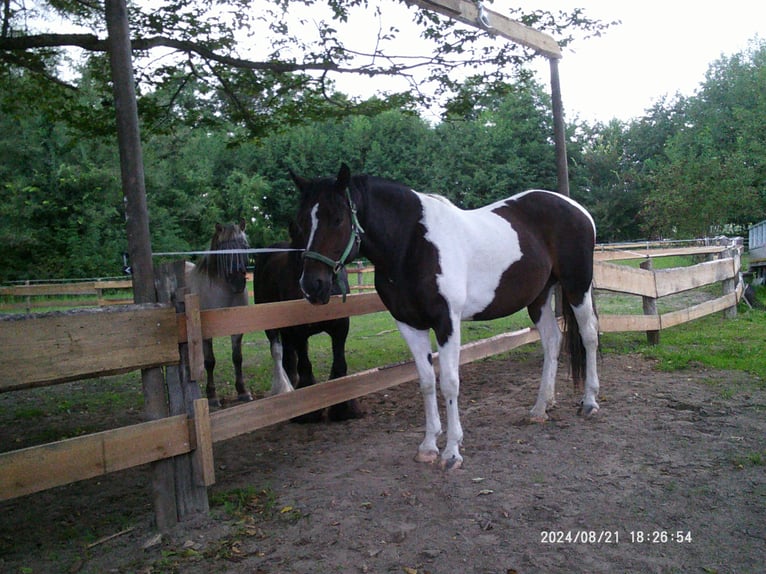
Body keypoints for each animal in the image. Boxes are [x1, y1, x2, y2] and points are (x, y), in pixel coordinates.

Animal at [185, 219, 253, 407]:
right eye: (223, 251)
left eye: (245, 246)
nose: (238, 282)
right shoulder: (206, 335)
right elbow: (210, 362)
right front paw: (212, 396)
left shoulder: (237, 330)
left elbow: (237, 358)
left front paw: (242, 391)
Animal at [253, 239, 363, 422]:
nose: (313, 286)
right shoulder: (299, 332)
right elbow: (305, 366)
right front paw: (309, 412)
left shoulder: (340, 327)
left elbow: (339, 363)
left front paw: (343, 409)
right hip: (272, 325)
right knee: (277, 352)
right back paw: (283, 389)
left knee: (287, 356)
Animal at [293, 164, 600, 470]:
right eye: (301, 222)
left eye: (337, 219)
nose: (312, 286)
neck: (412, 244)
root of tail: (577, 209)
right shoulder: (409, 324)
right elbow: (427, 382)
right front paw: (428, 447)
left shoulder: (446, 322)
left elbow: (450, 383)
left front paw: (452, 452)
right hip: (539, 298)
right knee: (551, 341)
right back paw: (540, 408)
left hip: (577, 287)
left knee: (589, 336)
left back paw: (589, 402)